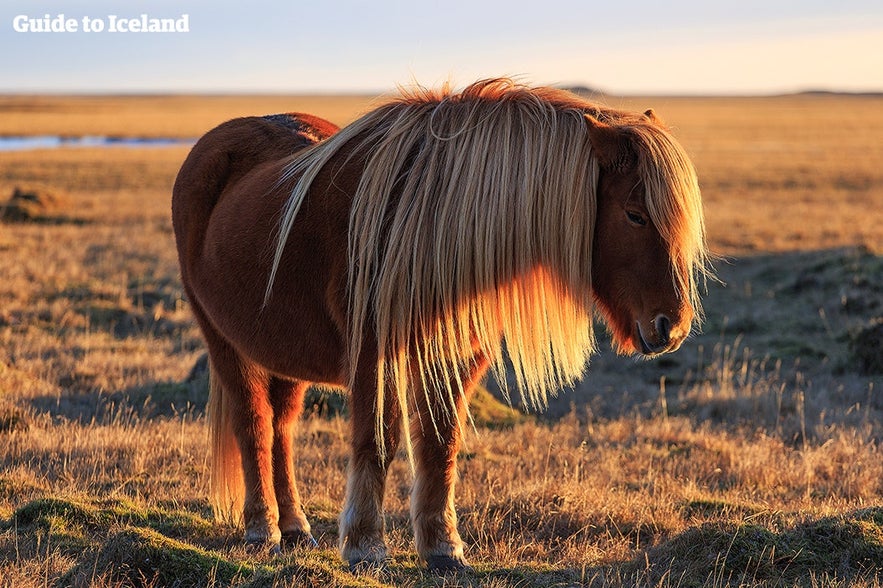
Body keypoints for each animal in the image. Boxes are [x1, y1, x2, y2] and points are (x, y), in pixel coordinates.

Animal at [171, 78, 712, 568]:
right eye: (635, 214)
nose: (673, 326)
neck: (430, 227)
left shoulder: (455, 356)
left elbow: (440, 445)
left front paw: (442, 547)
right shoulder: (373, 355)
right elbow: (377, 443)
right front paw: (365, 545)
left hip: (283, 350)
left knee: (281, 429)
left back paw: (295, 527)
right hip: (224, 341)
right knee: (253, 426)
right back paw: (261, 529)